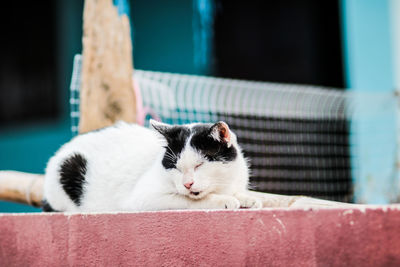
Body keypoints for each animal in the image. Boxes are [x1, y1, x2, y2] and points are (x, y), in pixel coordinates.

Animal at [43, 120, 262, 213]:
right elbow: (189, 200)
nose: (187, 184)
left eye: (200, 165)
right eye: (176, 167)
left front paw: (247, 198)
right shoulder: (143, 197)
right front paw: (224, 200)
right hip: (69, 166)